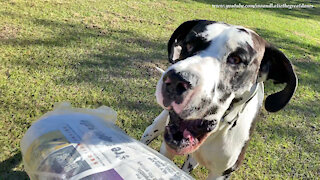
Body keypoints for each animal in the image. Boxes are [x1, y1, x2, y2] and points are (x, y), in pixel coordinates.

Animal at [140, 20, 298, 180]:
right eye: (189, 44)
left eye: (236, 59)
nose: (175, 80)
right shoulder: (167, 150)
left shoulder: (221, 174)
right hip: (157, 126)